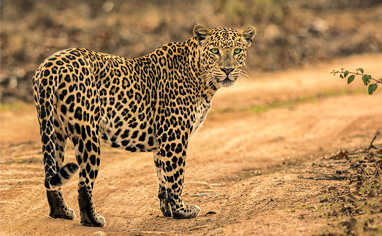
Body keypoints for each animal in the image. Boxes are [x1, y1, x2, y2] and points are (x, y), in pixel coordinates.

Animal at [32, 24, 254, 227]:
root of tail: (50, 65)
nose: (228, 70)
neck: (201, 78)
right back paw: (93, 219)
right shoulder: (174, 136)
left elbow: (162, 176)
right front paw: (181, 210)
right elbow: (176, 176)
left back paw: (61, 212)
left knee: (52, 172)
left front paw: (167, 209)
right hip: (87, 132)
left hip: (54, 130)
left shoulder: (163, 140)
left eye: (237, 51)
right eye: (215, 51)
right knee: (84, 182)